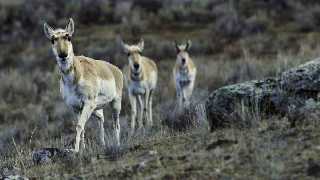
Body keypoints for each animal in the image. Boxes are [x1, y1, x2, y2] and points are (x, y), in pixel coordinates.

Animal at [42, 19, 122, 153]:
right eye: (52, 39)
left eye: (68, 37)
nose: (63, 54)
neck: (74, 80)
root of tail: (114, 69)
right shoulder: (75, 107)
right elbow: (81, 126)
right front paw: (82, 149)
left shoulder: (88, 103)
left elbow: (79, 126)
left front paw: (75, 150)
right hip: (96, 108)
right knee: (101, 119)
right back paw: (103, 144)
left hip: (114, 104)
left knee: (116, 124)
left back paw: (117, 145)